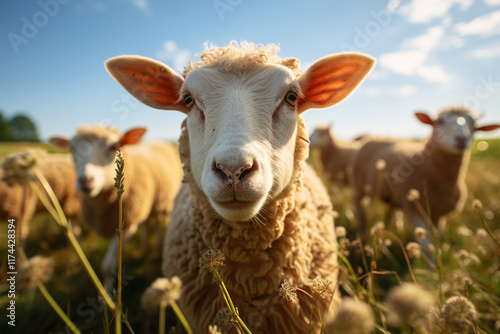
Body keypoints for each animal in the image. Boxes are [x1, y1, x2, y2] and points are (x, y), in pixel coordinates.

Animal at [48, 125, 184, 288]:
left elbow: (107, 267)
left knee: (162, 220)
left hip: (167, 201)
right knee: (147, 223)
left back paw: (158, 245)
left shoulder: (128, 224)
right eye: (72, 149)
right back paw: (145, 248)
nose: (85, 181)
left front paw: (108, 293)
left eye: (113, 146)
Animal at [352, 107, 500, 245]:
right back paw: (362, 235)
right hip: (359, 186)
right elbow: (427, 247)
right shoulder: (415, 210)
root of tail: (374, 136)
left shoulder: (439, 213)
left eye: (474, 124)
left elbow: (438, 241)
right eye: (440, 121)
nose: (461, 140)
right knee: (360, 210)